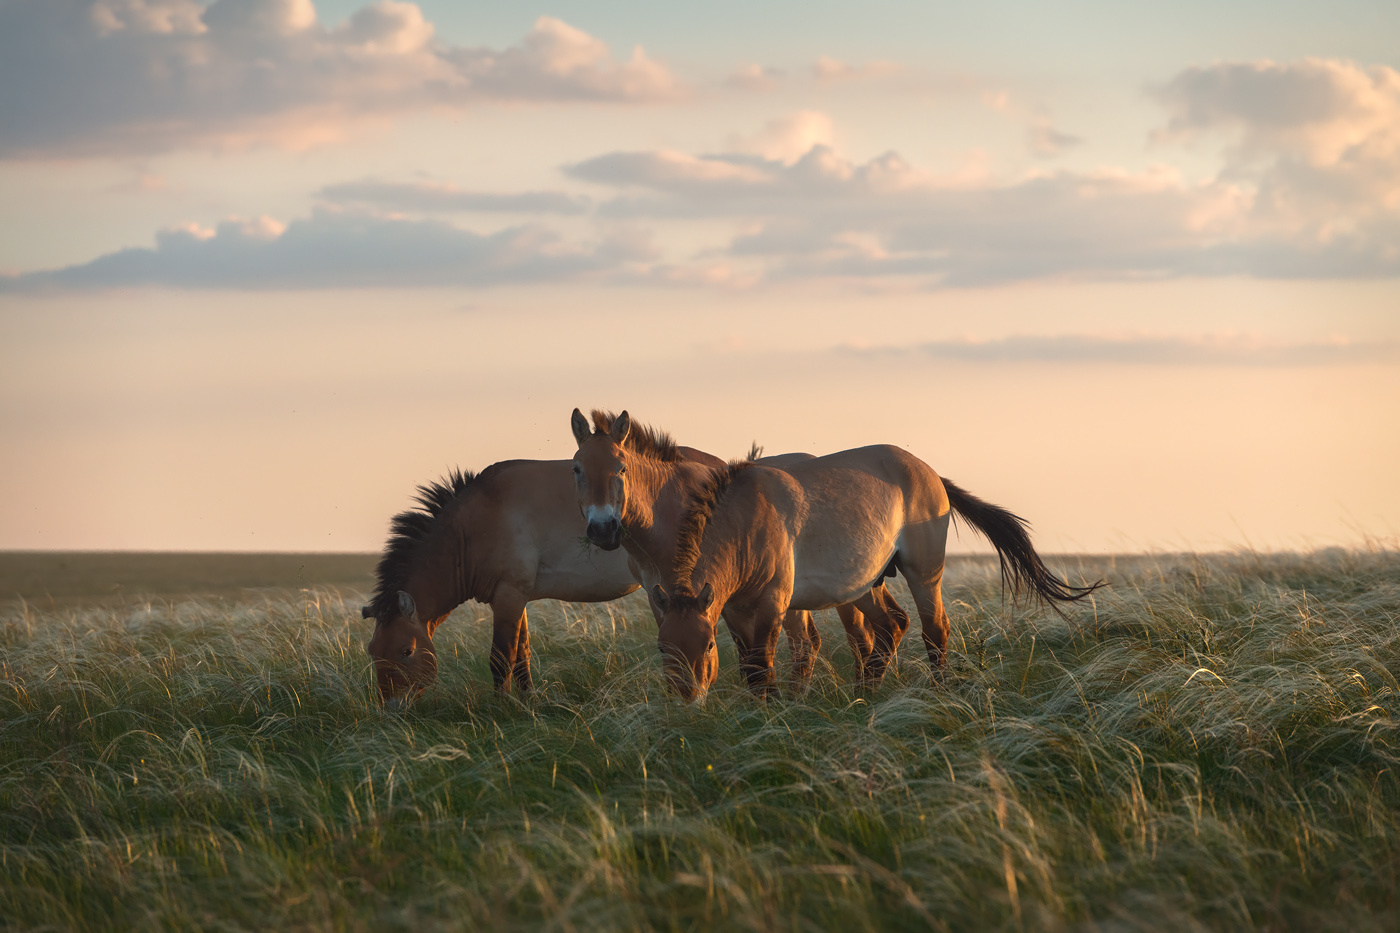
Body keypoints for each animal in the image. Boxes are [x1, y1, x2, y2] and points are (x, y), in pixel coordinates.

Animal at [362, 440, 724, 703]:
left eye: (406, 651)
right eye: (373, 652)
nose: (391, 710)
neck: (477, 524)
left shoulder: (509, 596)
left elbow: (501, 658)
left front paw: (502, 706)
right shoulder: (515, 598)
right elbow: (521, 654)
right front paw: (527, 701)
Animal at [570, 409, 911, 686]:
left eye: (621, 467)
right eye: (576, 469)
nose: (603, 529)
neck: (666, 509)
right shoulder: (662, 594)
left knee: (854, 636)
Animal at [649, 447, 1104, 700]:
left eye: (707, 646)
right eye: (662, 647)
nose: (687, 699)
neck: (746, 519)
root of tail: (930, 474)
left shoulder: (772, 606)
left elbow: (763, 664)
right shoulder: (733, 612)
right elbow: (750, 667)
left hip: (924, 576)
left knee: (933, 630)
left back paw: (936, 694)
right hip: (865, 585)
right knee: (892, 625)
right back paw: (864, 694)